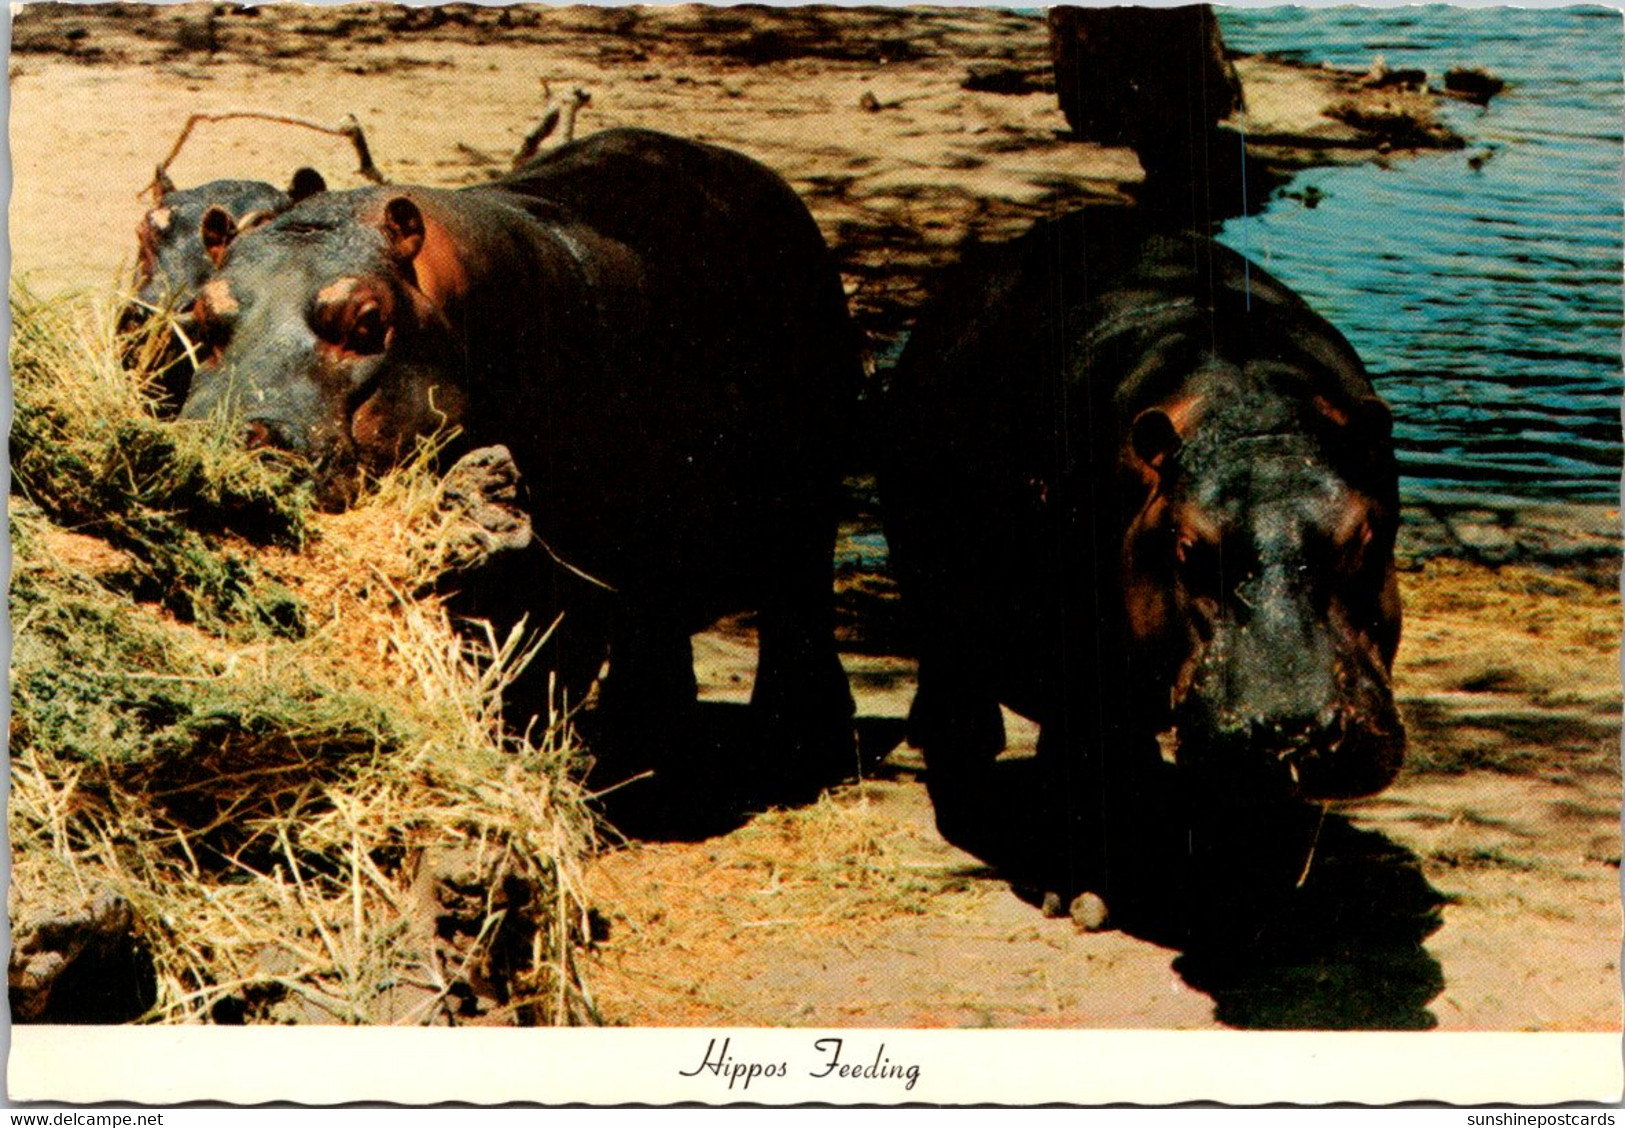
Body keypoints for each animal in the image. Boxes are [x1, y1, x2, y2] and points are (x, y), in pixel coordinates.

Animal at [176, 128, 858, 799]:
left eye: (367, 320)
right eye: (201, 317)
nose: (230, 437)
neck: (451, 298)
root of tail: (777, 188)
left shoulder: (568, 568)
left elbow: (542, 668)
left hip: (808, 501)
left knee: (798, 610)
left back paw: (800, 753)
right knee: (657, 638)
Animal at [884, 209, 1404, 916]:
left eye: (1365, 537)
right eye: (1186, 549)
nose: (1294, 729)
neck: (1249, 404)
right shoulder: (1076, 667)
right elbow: (1081, 764)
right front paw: (1081, 897)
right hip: (942, 608)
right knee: (967, 693)